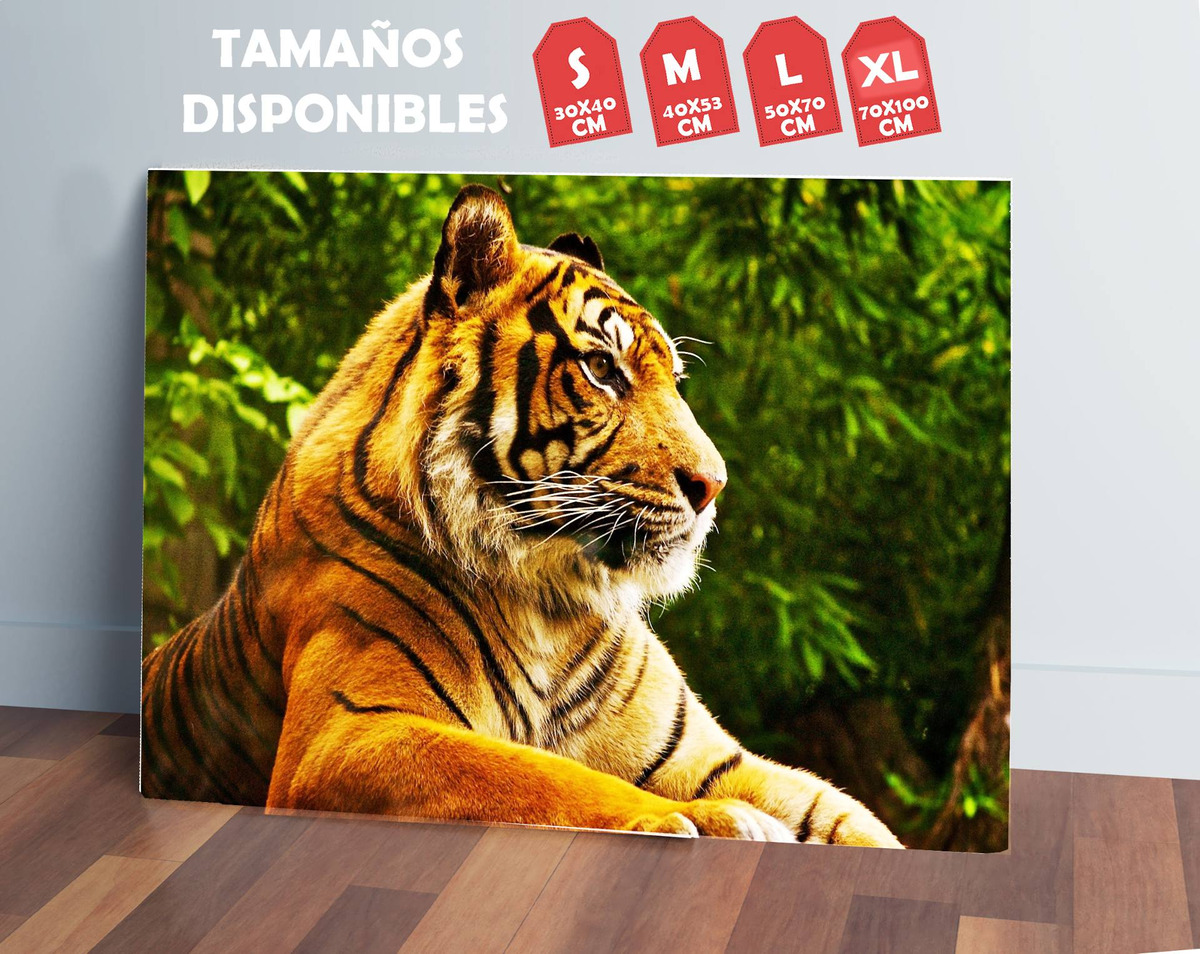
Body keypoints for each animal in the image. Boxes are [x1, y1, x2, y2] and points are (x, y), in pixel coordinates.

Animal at [141, 183, 902, 847]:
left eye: (675, 381)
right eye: (602, 369)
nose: (713, 485)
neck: (550, 602)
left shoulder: (707, 756)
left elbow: (851, 818)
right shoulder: (349, 732)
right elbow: (544, 775)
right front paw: (695, 820)